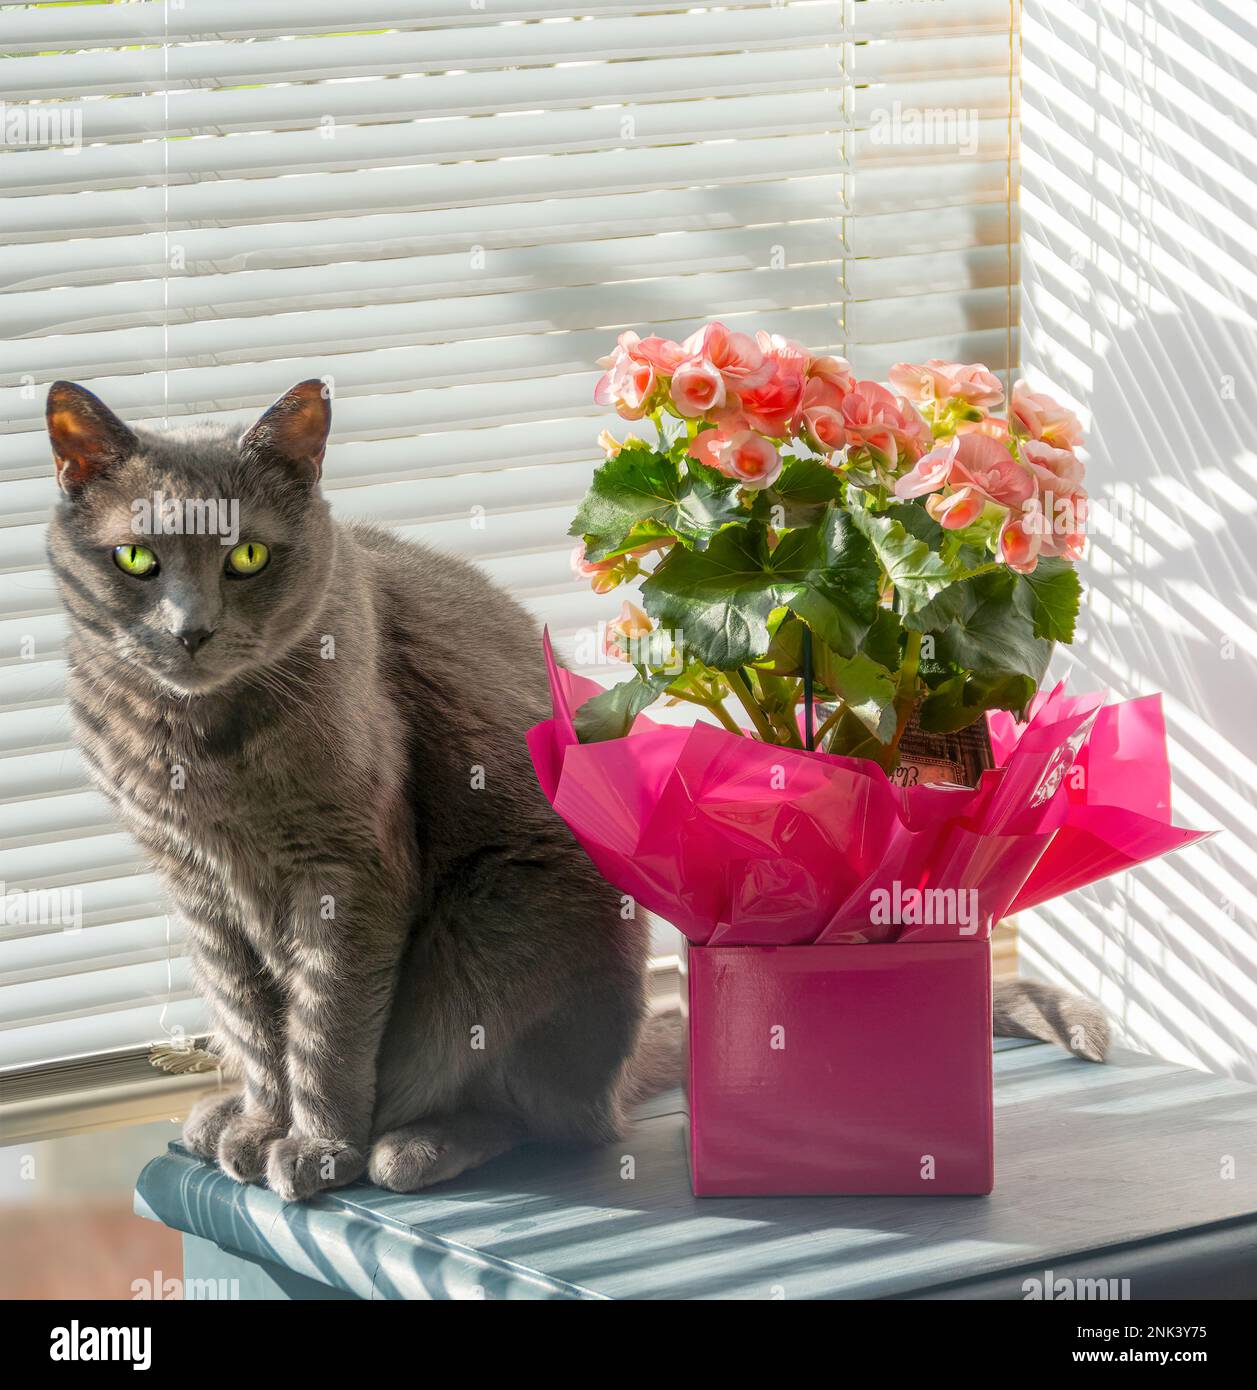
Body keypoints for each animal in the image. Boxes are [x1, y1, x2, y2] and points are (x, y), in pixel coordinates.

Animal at [46, 378, 1112, 1195]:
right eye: (137, 559)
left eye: (248, 556)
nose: (190, 631)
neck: (198, 752)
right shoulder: (195, 888)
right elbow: (254, 1021)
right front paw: (264, 1122)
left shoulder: (345, 872)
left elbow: (324, 1024)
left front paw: (314, 1146)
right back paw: (226, 1112)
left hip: (498, 921)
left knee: (543, 1119)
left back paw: (412, 1145)